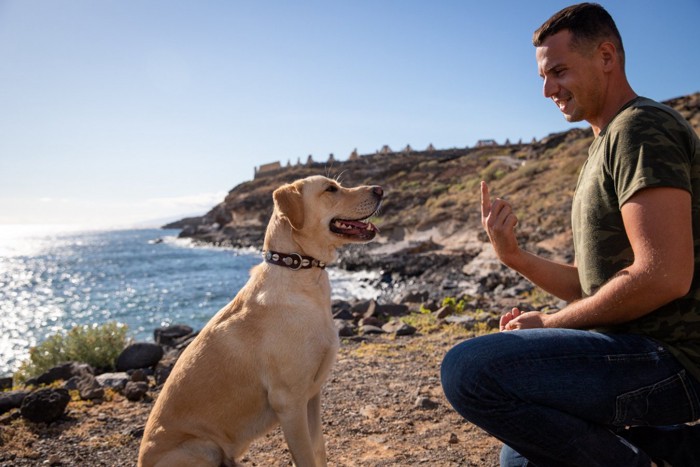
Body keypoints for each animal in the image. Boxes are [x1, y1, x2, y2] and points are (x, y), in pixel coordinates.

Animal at [138, 176, 382, 467]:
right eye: (330, 189)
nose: (380, 190)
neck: (299, 271)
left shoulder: (312, 395)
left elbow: (319, 449)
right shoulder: (289, 402)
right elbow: (306, 456)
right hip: (202, 447)